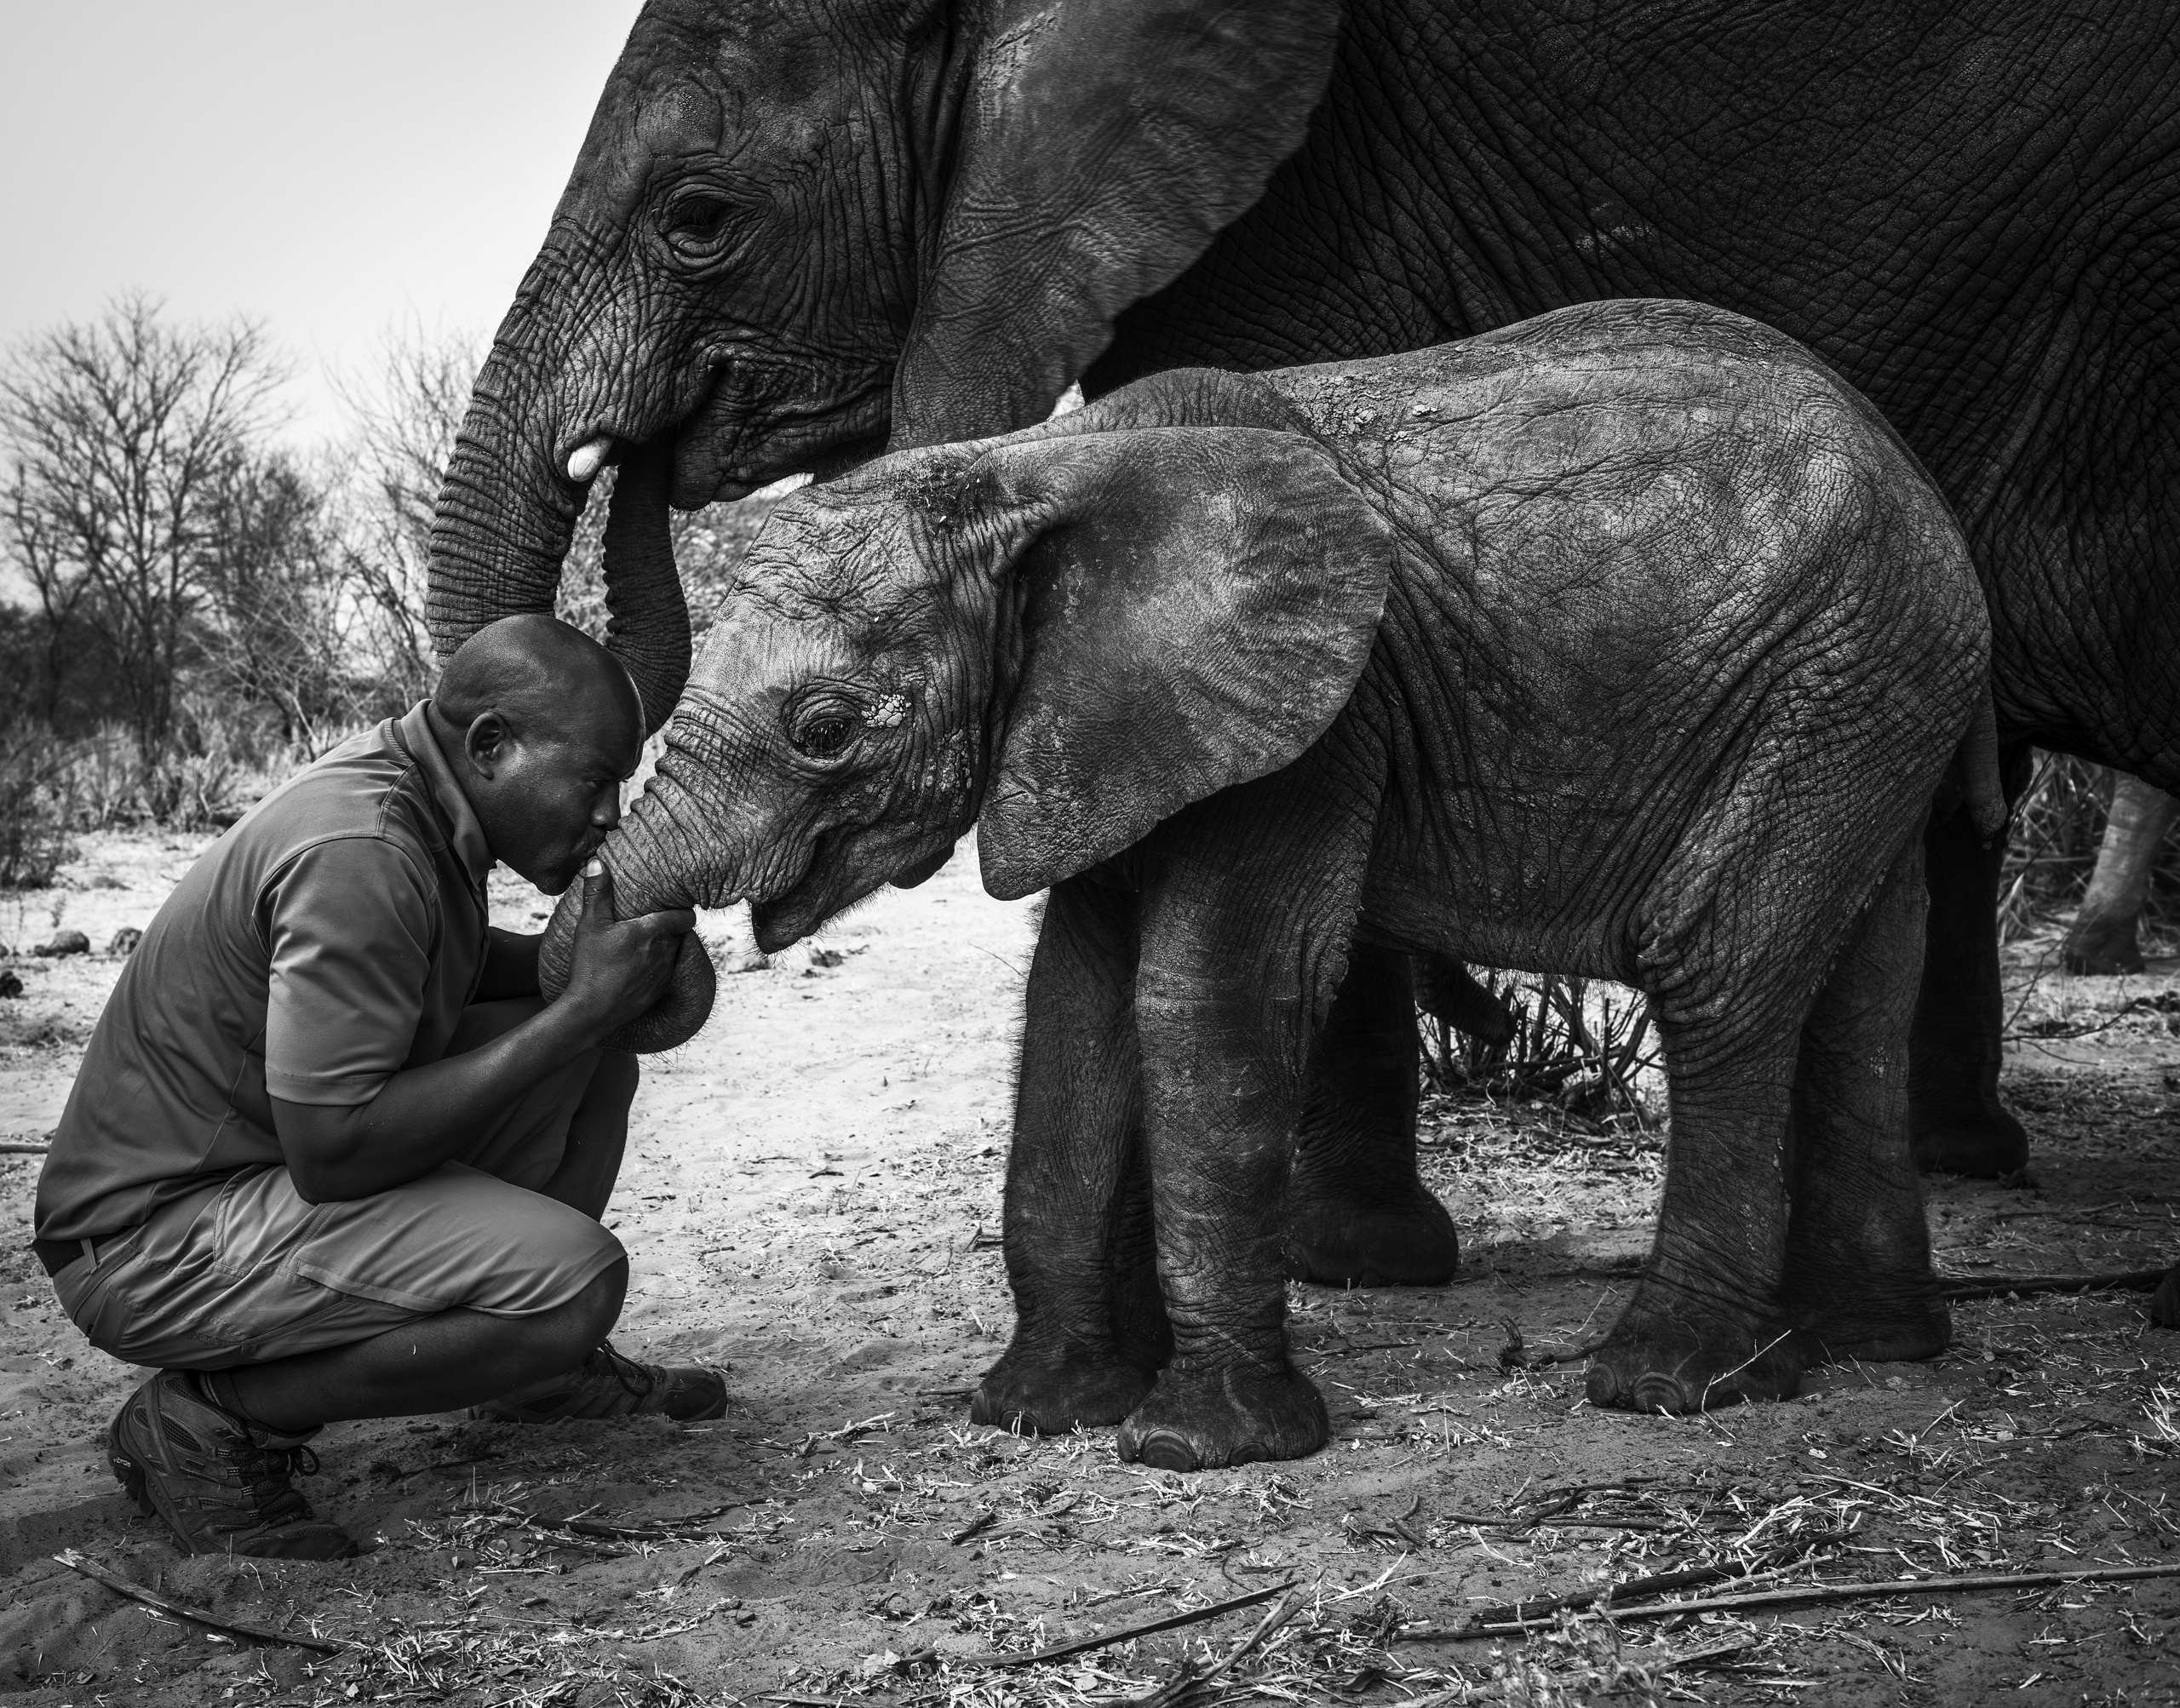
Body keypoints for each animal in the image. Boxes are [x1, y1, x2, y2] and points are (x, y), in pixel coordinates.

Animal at [535, 300, 2007, 1463]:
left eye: (827, 728)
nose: (645, 422)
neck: (1033, 471)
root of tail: (1923, 485)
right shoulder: (1113, 726)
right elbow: (1075, 1005)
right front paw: (1036, 1413)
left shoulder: (1315, 725)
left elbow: (1211, 995)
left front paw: (1200, 1446)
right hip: (1872, 688)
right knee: (1859, 982)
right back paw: (1871, 1346)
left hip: (1834, 673)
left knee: (1720, 961)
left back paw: (1668, 1384)